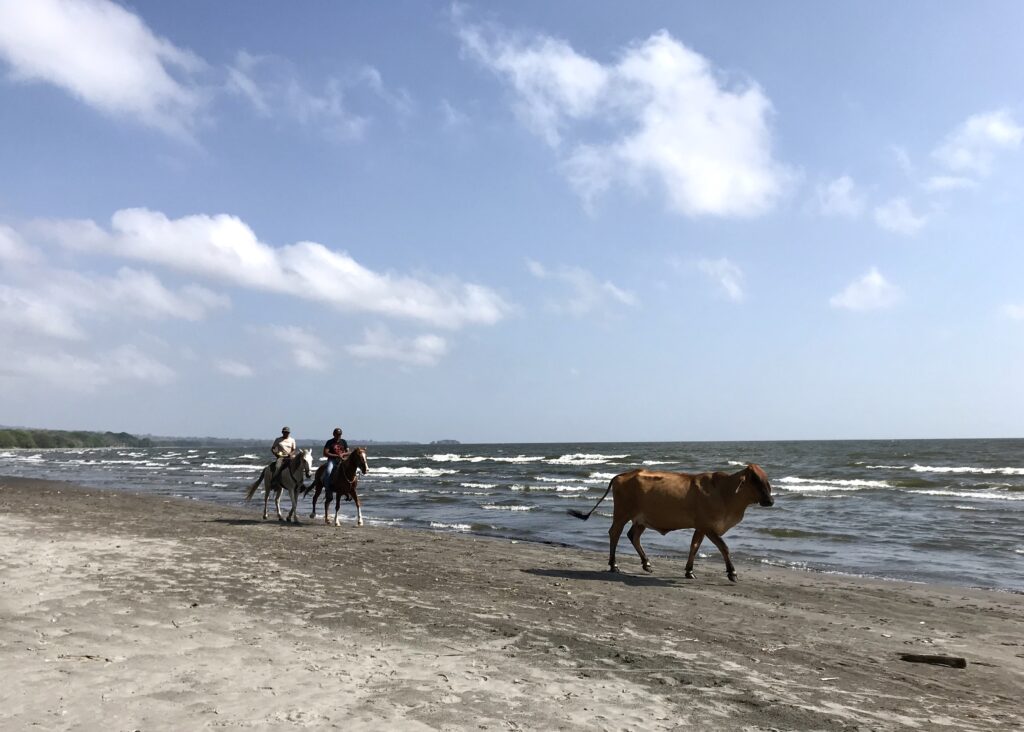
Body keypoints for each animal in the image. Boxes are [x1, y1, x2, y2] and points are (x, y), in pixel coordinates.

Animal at [569, 464, 774, 585]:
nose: (770, 501)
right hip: (622, 514)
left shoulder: (700, 527)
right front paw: (732, 573)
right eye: (756, 480)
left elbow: (694, 547)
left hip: (641, 519)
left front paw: (689, 571)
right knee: (615, 533)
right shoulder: (708, 526)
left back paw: (646, 563)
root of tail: (621, 475)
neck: (725, 492)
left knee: (633, 536)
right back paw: (614, 565)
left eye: (766, 480)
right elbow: (724, 547)